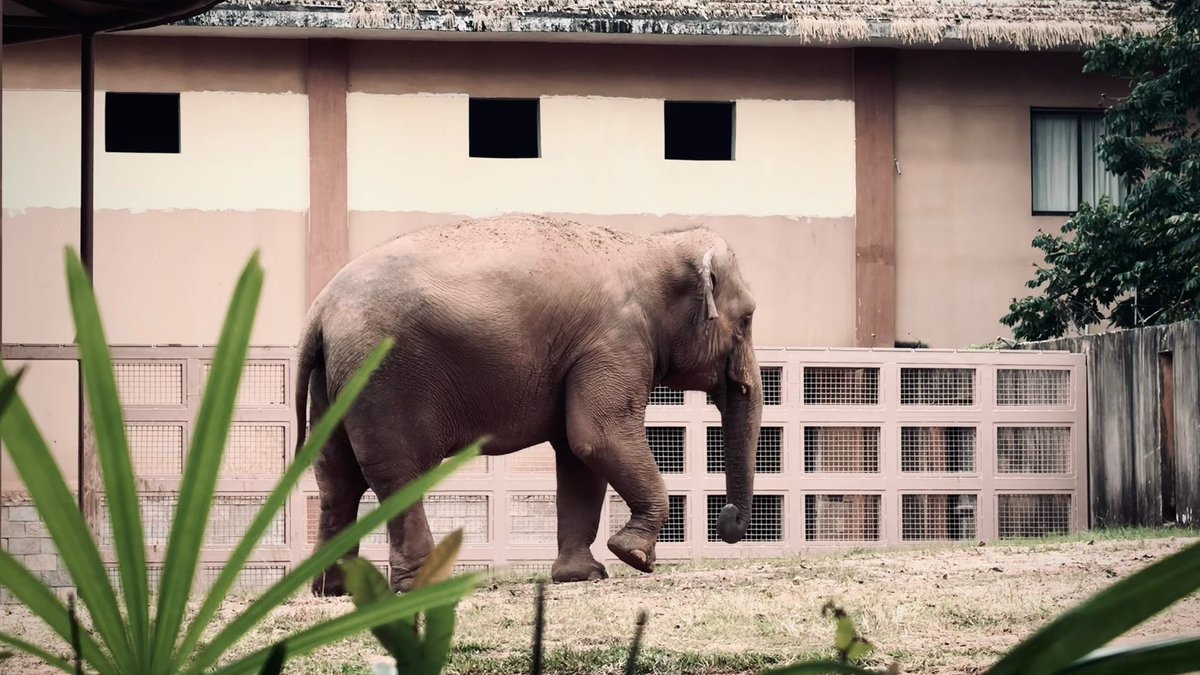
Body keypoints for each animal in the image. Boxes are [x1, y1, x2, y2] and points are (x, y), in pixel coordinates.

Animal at [294, 214, 763, 595]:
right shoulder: (616, 342)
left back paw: (332, 589)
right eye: (748, 319)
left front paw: (582, 576)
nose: (728, 519)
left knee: (336, 480)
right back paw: (419, 587)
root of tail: (320, 311)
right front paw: (633, 556)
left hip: (332, 383)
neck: (652, 246)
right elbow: (598, 437)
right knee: (398, 476)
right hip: (383, 377)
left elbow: (578, 455)